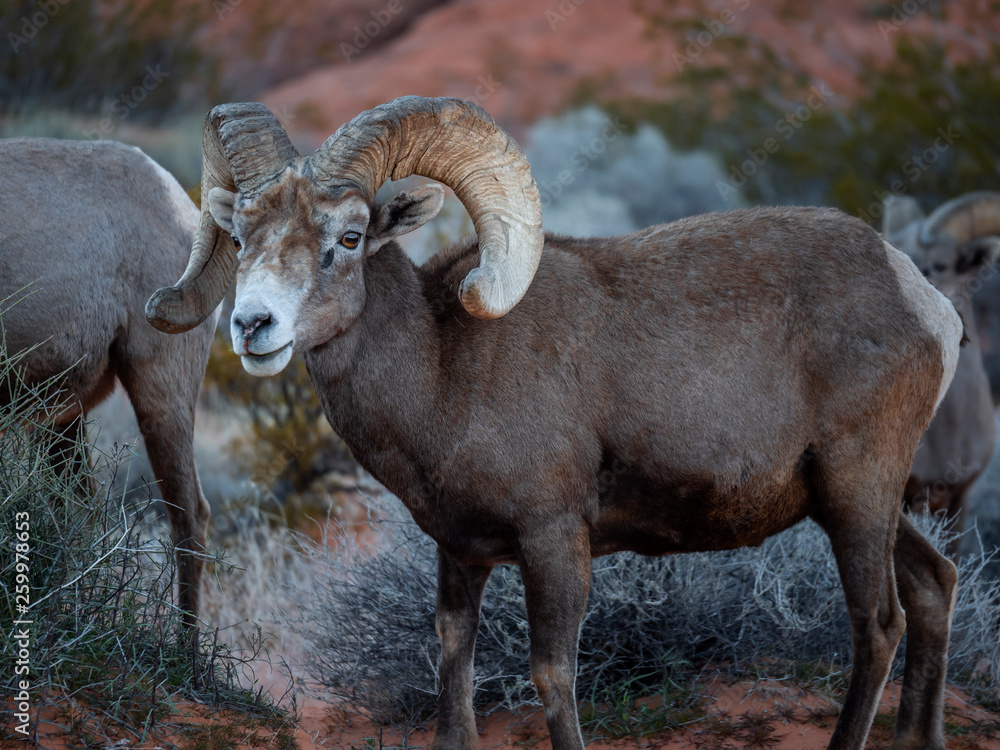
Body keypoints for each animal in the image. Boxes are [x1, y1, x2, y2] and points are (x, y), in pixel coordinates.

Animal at [147, 97, 962, 750]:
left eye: (347, 238)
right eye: (241, 237)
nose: (253, 326)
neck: (443, 369)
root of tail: (928, 306)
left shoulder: (554, 540)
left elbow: (552, 676)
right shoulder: (461, 554)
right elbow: (454, 671)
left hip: (857, 493)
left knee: (878, 625)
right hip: (858, 503)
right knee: (935, 583)